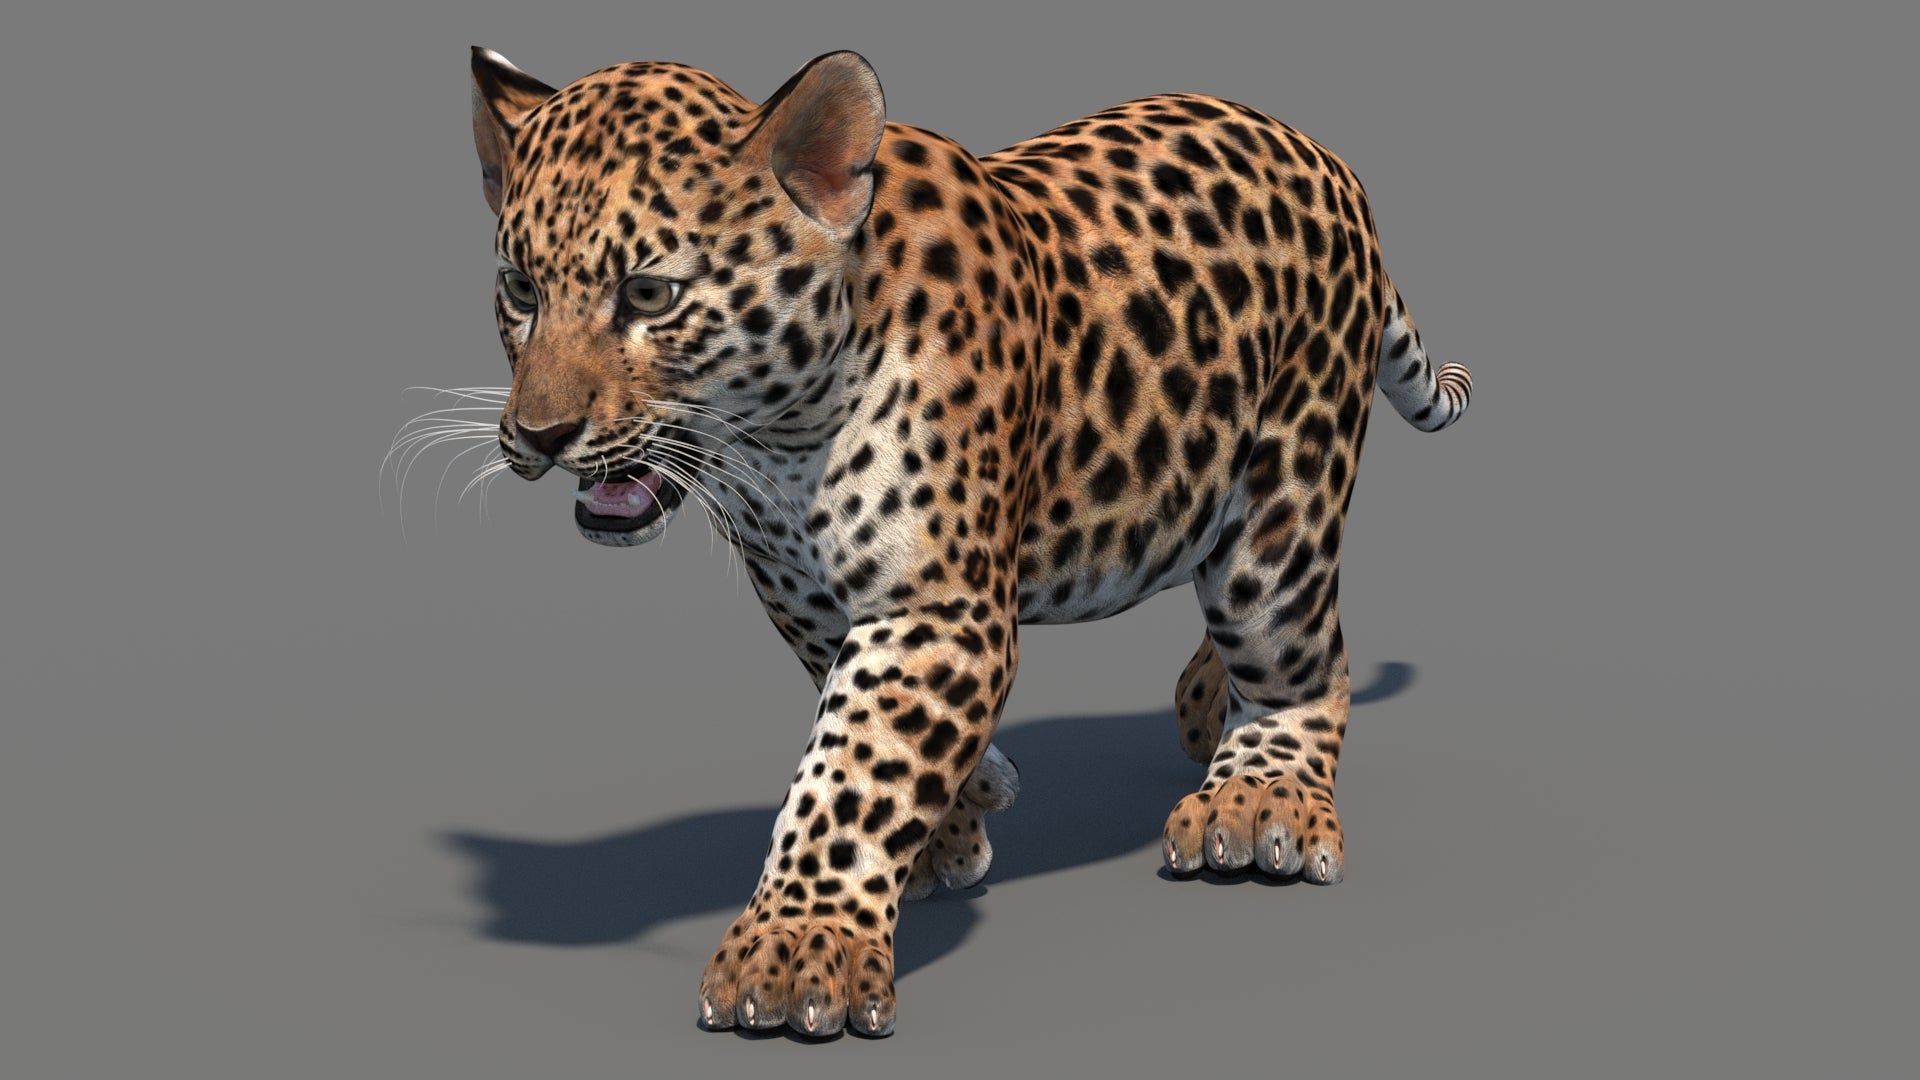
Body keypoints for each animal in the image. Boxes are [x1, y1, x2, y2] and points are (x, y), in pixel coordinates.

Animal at [464, 46, 1473, 1038]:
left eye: (648, 293)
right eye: (520, 290)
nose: (539, 436)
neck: (779, 446)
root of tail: (1320, 155)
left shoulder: (940, 607)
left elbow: (853, 768)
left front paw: (796, 948)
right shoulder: (805, 594)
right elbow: (864, 722)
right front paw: (959, 818)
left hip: (1283, 501)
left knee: (1303, 659)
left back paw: (1260, 800)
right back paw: (1199, 702)